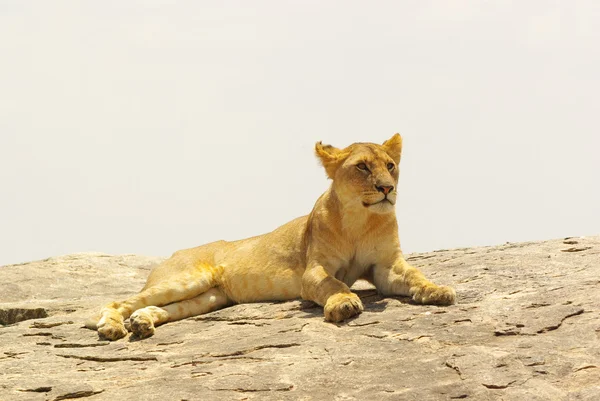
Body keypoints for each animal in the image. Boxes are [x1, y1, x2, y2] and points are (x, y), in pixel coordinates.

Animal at [88, 133, 454, 340]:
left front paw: (438, 291)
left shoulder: (386, 266)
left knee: (158, 308)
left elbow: (415, 275)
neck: (360, 221)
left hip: (209, 298)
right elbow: (332, 283)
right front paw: (344, 304)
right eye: (362, 166)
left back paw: (141, 323)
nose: (387, 189)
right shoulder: (314, 270)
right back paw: (112, 326)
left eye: (390, 166)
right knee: (119, 301)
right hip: (188, 278)